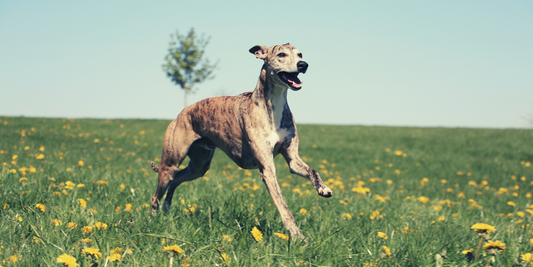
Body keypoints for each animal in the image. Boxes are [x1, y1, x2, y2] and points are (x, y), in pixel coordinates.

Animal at [150, 44, 330, 241]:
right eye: (281, 54)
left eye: (300, 54)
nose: (303, 65)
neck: (273, 104)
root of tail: (182, 113)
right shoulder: (267, 169)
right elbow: (283, 207)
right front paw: (298, 237)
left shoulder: (293, 159)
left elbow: (312, 171)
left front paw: (323, 188)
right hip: (170, 163)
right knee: (157, 193)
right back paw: (153, 220)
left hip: (199, 166)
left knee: (176, 180)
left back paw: (166, 208)